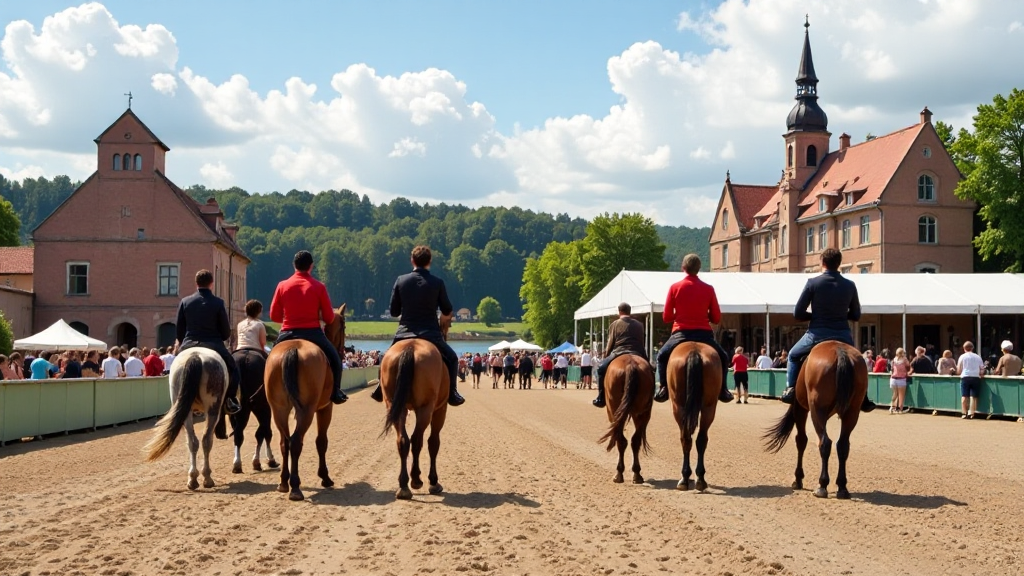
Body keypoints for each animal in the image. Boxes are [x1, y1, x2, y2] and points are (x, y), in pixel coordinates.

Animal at [266, 303, 346, 500]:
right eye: (344, 326)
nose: (344, 351)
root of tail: (292, 349)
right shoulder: (325, 408)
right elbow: (321, 442)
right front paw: (325, 477)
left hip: (279, 410)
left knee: (285, 442)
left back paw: (283, 483)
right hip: (307, 410)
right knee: (295, 441)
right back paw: (295, 487)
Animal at [380, 313, 452, 498]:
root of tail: (410, 347)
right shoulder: (440, 410)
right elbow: (433, 442)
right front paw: (433, 481)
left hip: (394, 406)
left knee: (403, 440)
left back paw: (404, 485)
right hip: (425, 408)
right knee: (417, 439)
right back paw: (416, 480)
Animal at [598, 352, 651, 481]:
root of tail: (630, 365)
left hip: (614, 410)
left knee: (621, 440)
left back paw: (619, 473)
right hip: (642, 413)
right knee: (635, 440)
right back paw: (637, 474)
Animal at [667, 338, 724, 491]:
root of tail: (694, 351)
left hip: (678, 406)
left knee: (686, 439)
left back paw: (685, 479)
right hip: (709, 407)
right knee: (701, 439)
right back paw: (700, 479)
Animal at [765, 338, 868, 496]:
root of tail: (840, 351)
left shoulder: (800, 409)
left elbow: (801, 441)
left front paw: (798, 479)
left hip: (816, 410)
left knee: (825, 442)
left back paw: (822, 485)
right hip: (852, 412)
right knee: (843, 445)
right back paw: (842, 487)